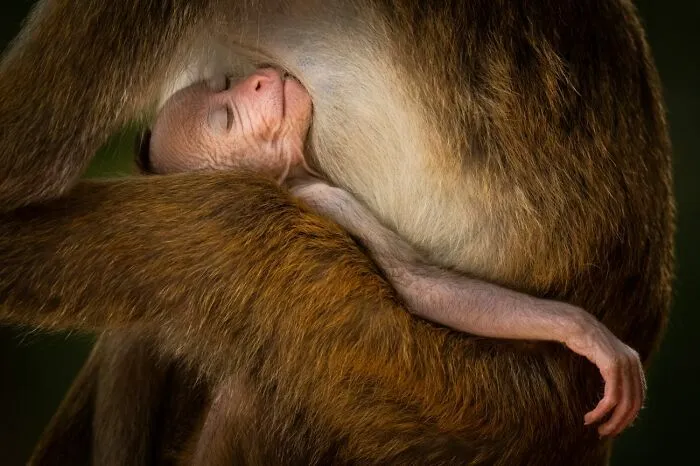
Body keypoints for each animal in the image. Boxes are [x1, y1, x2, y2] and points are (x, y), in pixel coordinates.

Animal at [0, 0, 673, 465]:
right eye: (226, 114)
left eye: (224, 89)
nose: (259, 80)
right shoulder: (325, 198)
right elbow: (416, 282)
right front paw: (581, 331)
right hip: (457, 405)